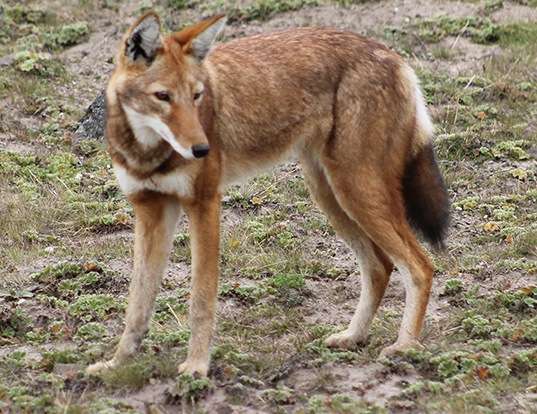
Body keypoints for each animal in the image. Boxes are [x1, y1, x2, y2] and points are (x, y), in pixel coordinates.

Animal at [87, 12, 448, 376]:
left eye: (197, 95)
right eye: (163, 96)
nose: (202, 149)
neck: (148, 154)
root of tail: (394, 56)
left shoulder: (204, 205)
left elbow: (201, 300)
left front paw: (196, 368)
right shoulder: (150, 211)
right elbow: (137, 304)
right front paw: (116, 364)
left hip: (356, 194)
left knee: (420, 267)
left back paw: (405, 348)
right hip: (331, 197)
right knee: (380, 268)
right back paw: (353, 337)